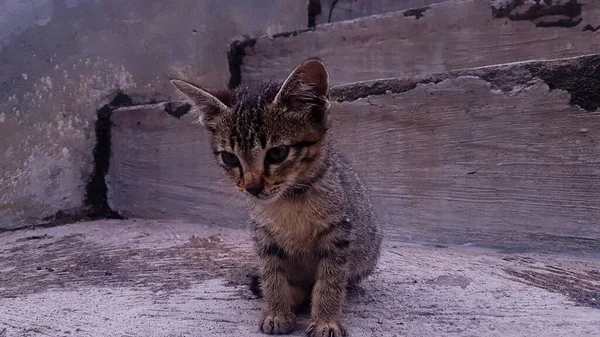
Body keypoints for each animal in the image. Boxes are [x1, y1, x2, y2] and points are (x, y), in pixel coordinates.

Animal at [171, 59, 382, 334]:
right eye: (230, 158)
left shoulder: (339, 232)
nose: (252, 187)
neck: (289, 202)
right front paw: (276, 312)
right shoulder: (263, 235)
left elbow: (330, 280)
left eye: (277, 153)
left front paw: (325, 319)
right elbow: (272, 276)